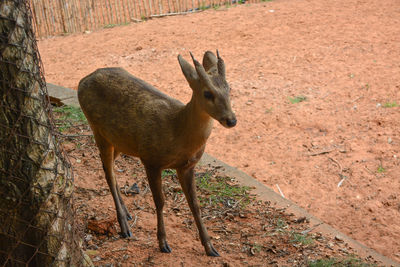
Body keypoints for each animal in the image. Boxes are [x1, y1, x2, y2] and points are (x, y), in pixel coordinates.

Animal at [76, 50, 236, 258]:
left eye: (229, 89)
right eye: (207, 93)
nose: (231, 120)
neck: (177, 130)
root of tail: (83, 80)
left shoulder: (187, 166)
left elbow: (195, 205)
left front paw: (210, 247)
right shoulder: (150, 159)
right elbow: (160, 202)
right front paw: (163, 243)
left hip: (119, 140)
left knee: (109, 167)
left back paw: (127, 213)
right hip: (97, 128)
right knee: (108, 173)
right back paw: (124, 226)